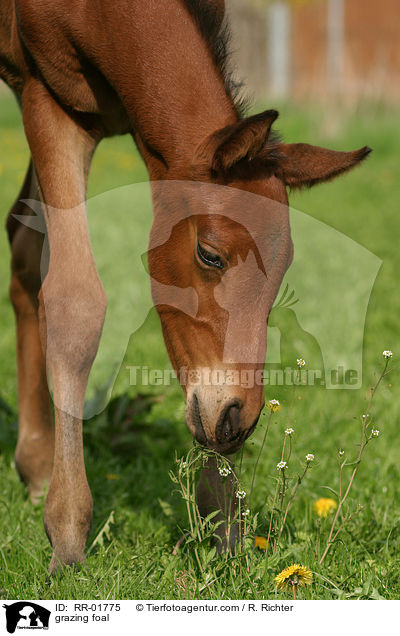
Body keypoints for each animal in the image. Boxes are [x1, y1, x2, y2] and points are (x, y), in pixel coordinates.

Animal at [0, 0, 370, 568]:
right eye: (209, 254)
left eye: (284, 267)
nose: (239, 419)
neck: (112, 18)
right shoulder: (49, 99)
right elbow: (75, 303)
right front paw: (67, 529)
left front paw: (226, 527)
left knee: (22, 240)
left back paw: (36, 460)